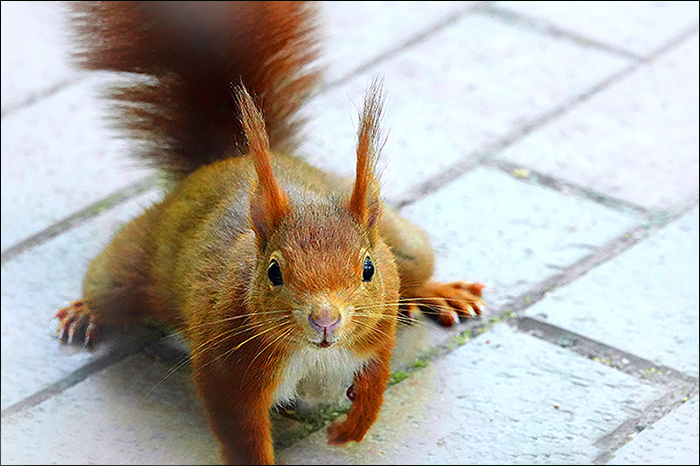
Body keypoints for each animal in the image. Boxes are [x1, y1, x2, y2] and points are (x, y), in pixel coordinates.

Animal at [55, 2, 484, 464]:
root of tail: (224, 161)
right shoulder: (227, 366)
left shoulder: (378, 326)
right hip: (128, 270)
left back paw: (442, 292)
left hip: (404, 247)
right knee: (107, 284)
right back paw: (86, 312)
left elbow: (377, 380)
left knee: (416, 266)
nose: (325, 319)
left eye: (368, 269)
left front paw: (353, 426)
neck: (314, 353)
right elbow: (241, 430)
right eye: (274, 272)